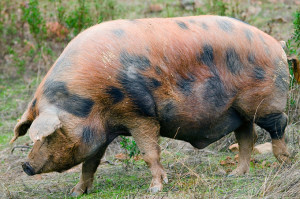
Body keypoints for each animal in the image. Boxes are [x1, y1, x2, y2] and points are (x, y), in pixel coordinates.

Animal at [11, 15, 290, 196]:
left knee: (278, 125)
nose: (25, 165)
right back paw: (234, 175)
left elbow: (149, 152)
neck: (92, 101)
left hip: (265, 103)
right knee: (247, 138)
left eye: (48, 136)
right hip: (238, 111)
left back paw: (283, 162)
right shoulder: (101, 133)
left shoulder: (139, 113)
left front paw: (155, 188)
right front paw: (76, 192)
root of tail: (278, 45)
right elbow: (90, 163)